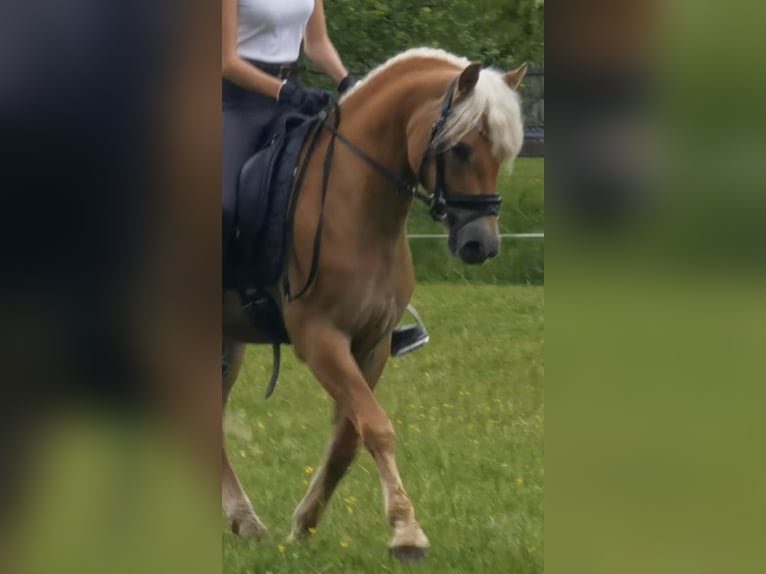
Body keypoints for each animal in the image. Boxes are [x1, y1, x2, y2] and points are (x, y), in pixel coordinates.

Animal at [222, 47, 527, 561]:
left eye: (504, 153)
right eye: (462, 148)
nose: (481, 245)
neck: (356, 205)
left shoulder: (373, 343)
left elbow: (348, 439)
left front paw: (303, 525)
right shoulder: (321, 339)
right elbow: (377, 427)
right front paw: (407, 532)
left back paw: (244, 520)